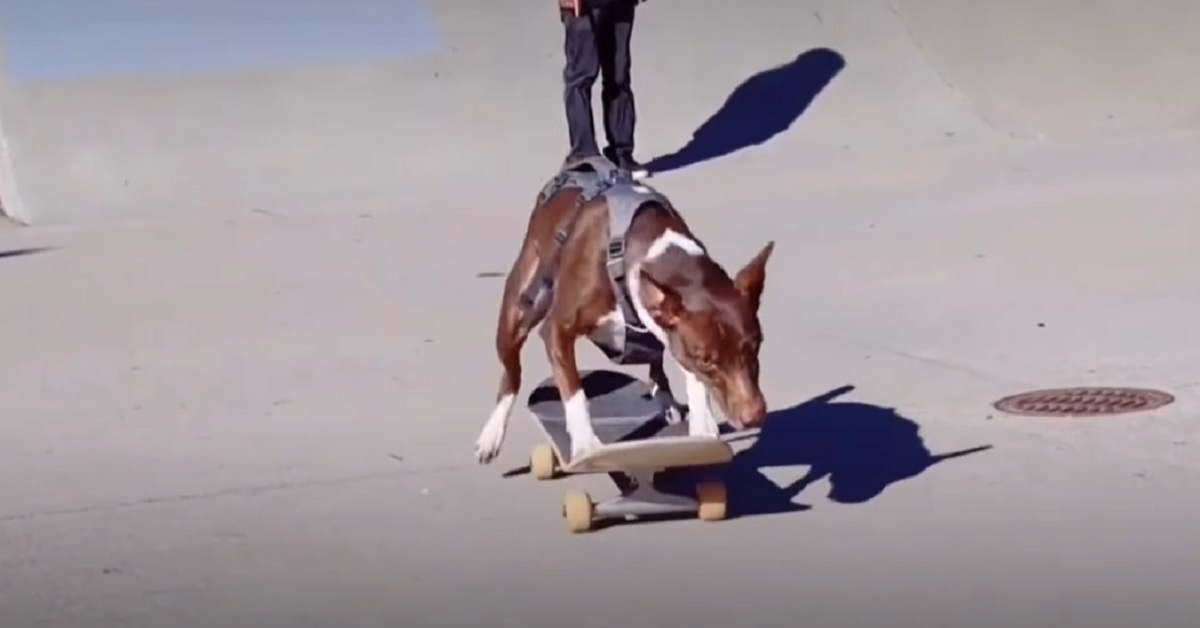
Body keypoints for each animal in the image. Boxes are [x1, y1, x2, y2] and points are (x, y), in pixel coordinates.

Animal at [472, 175, 772, 461]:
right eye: (707, 360)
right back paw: (492, 434)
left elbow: (693, 379)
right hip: (521, 305)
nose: (754, 415)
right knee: (512, 374)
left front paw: (703, 431)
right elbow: (573, 391)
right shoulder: (557, 329)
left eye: (755, 346)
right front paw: (586, 445)